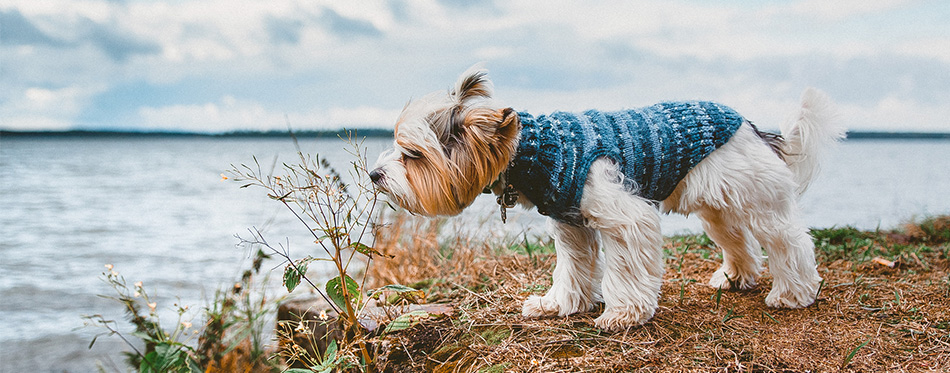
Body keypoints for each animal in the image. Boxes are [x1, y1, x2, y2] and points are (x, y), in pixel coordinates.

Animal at [368, 65, 844, 330]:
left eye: (412, 154)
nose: (374, 174)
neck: (536, 149)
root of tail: (750, 125)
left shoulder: (627, 220)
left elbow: (626, 274)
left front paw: (623, 315)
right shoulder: (571, 225)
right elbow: (572, 270)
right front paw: (559, 305)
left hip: (759, 202)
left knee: (789, 241)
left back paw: (794, 293)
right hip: (717, 207)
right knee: (739, 241)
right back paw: (736, 277)